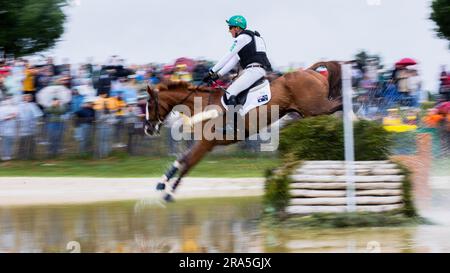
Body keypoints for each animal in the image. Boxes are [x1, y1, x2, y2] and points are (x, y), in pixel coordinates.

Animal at [146, 60, 342, 200]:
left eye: (149, 105)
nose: (148, 129)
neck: (201, 105)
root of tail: (310, 71)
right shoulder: (204, 142)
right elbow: (182, 159)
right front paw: (162, 183)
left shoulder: (206, 143)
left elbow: (188, 163)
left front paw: (169, 193)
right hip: (307, 112)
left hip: (316, 108)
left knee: (339, 104)